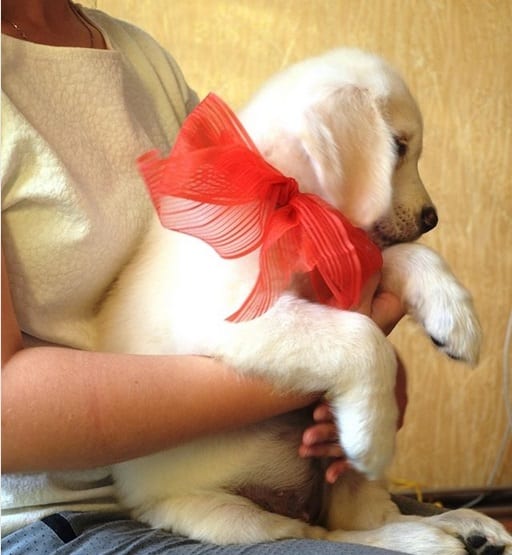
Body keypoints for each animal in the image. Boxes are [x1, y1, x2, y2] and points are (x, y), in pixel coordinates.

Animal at [98, 48, 510, 555]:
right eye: (398, 147)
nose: (431, 218)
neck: (293, 207)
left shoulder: (352, 263)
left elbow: (410, 257)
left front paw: (454, 315)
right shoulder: (233, 320)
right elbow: (363, 336)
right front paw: (372, 434)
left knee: (366, 519)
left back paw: (461, 525)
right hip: (228, 517)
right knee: (326, 533)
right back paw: (430, 537)